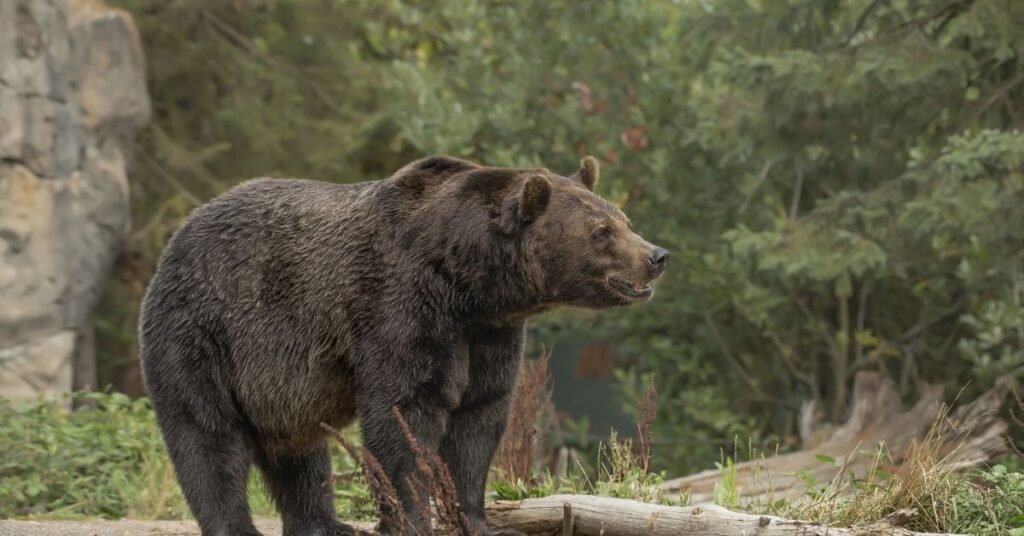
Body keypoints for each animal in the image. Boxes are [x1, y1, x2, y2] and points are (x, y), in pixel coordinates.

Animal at [139, 155, 668, 536]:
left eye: (623, 218)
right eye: (601, 232)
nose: (656, 255)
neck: (468, 282)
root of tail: (176, 237)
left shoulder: (488, 334)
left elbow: (479, 418)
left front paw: (478, 519)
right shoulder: (401, 306)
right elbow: (403, 415)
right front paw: (411, 516)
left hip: (279, 385)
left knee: (300, 452)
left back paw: (327, 524)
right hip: (204, 333)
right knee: (208, 437)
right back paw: (240, 525)